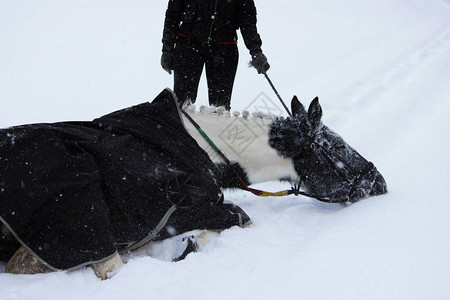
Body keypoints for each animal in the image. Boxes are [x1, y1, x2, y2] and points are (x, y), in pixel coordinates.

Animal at [0, 88, 386, 278]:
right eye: (335, 147)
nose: (378, 181)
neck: (205, 147)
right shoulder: (177, 213)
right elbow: (239, 216)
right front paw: (189, 247)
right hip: (82, 217)